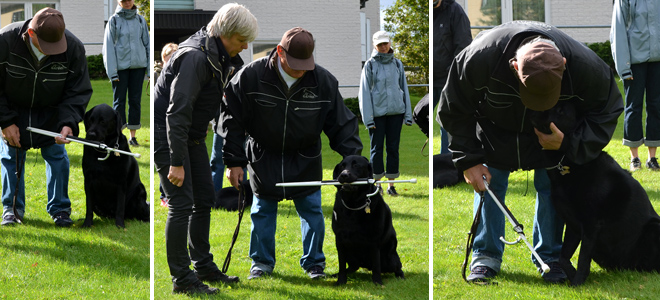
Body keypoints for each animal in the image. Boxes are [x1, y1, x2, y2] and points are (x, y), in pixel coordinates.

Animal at [332, 156, 404, 284]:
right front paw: (340, 281)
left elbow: (376, 264)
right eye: (342, 166)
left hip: (390, 258)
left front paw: (377, 283)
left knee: (398, 267)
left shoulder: (373, 240)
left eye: (356, 165)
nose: (343, 175)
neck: (354, 204)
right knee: (352, 266)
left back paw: (401, 277)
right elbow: (341, 265)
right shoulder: (339, 240)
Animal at [528, 101, 660, 286]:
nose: (533, 107)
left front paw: (578, 282)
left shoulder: (591, 225)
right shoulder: (573, 225)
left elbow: (583, 258)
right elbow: (563, 257)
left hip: (654, 227)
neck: (569, 165)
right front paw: (572, 275)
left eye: (560, 110)